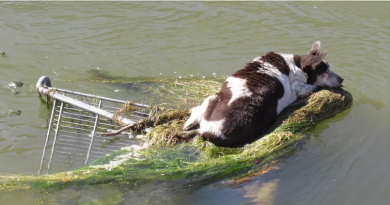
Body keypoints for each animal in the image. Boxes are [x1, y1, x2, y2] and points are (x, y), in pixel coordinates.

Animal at [184, 41, 344, 147]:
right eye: (325, 71)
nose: (342, 79)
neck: (297, 66)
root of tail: (208, 132)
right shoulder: (299, 88)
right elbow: (311, 86)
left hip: (212, 98)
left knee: (198, 109)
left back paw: (188, 123)